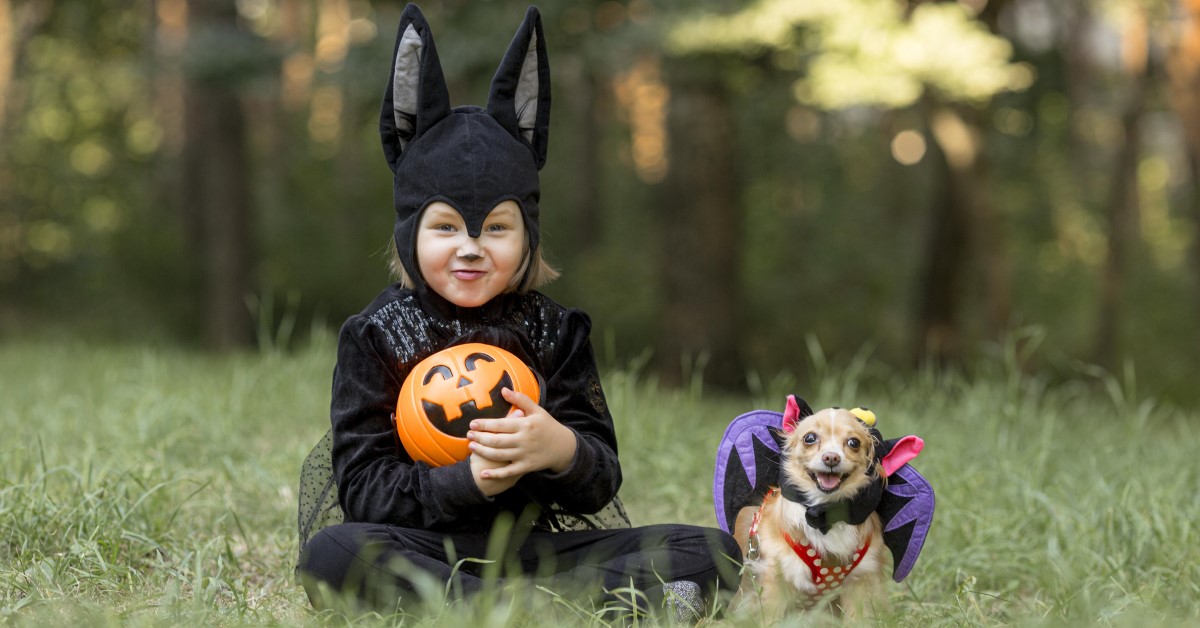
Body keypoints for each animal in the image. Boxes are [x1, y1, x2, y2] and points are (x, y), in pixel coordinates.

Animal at [729, 408, 892, 619]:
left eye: (853, 443)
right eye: (810, 438)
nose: (831, 457)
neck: (825, 511)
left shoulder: (861, 580)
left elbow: (859, 618)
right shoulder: (776, 579)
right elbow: (770, 618)